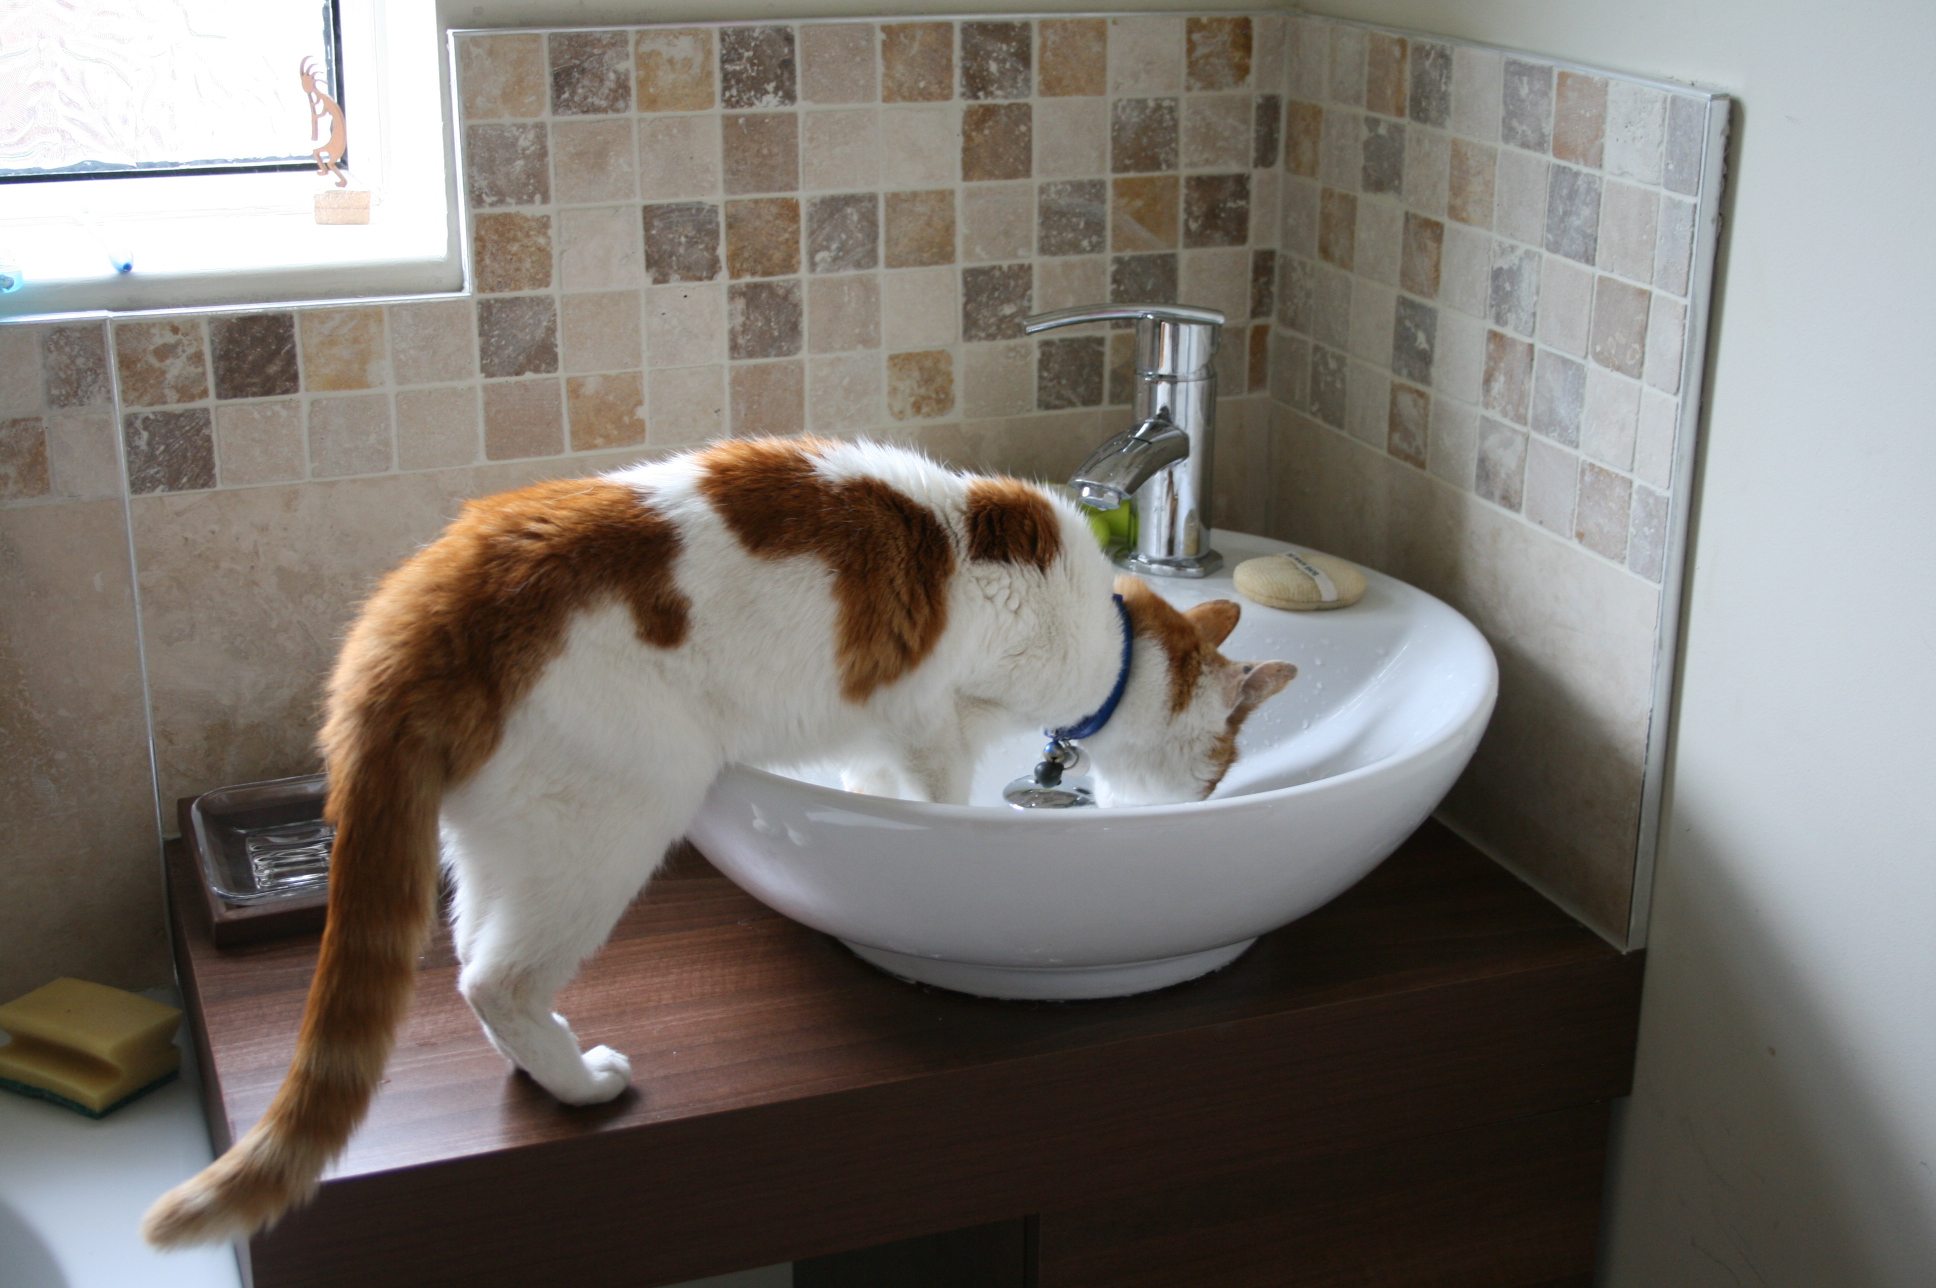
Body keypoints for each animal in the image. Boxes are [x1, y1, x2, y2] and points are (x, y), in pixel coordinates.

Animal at [141, 435, 1296, 1247]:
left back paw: (544, 1066)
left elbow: (869, 785)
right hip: (616, 820)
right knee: (490, 976)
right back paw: (583, 1084)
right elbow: (944, 794)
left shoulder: (876, 740)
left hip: (507, 838)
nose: (1208, 803)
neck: (1107, 639)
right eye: (1221, 770)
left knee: (473, 955)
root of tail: (428, 595)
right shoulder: (931, 723)